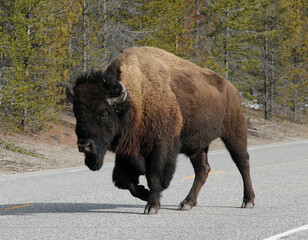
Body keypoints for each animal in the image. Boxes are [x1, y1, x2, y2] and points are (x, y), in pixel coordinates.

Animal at [67, 46, 255, 214]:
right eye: (77, 112)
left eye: (104, 113)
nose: (84, 145)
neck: (134, 101)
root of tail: (232, 88)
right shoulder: (127, 151)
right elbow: (123, 179)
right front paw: (145, 194)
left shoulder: (160, 147)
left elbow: (154, 176)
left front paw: (152, 206)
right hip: (198, 145)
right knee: (203, 169)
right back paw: (187, 203)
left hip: (234, 132)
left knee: (242, 161)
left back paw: (248, 201)